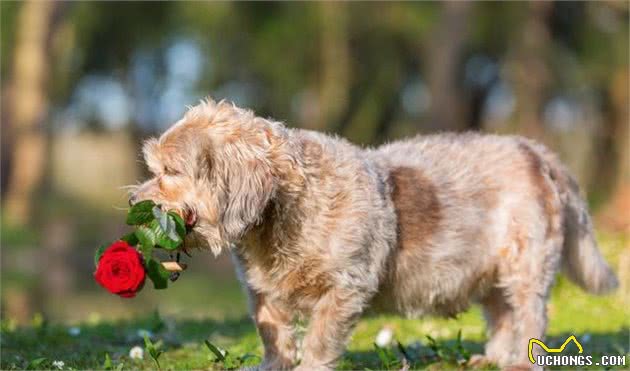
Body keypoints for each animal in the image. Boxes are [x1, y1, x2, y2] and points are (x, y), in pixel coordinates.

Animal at [131, 97, 620, 370]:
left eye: (171, 171)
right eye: (155, 169)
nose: (137, 202)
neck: (285, 209)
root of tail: (535, 151)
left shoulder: (344, 290)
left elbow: (319, 339)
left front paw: (309, 366)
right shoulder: (263, 295)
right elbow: (275, 336)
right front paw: (273, 366)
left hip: (524, 269)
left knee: (529, 316)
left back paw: (519, 363)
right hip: (490, 275)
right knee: (501, 316)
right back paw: (495, 358)